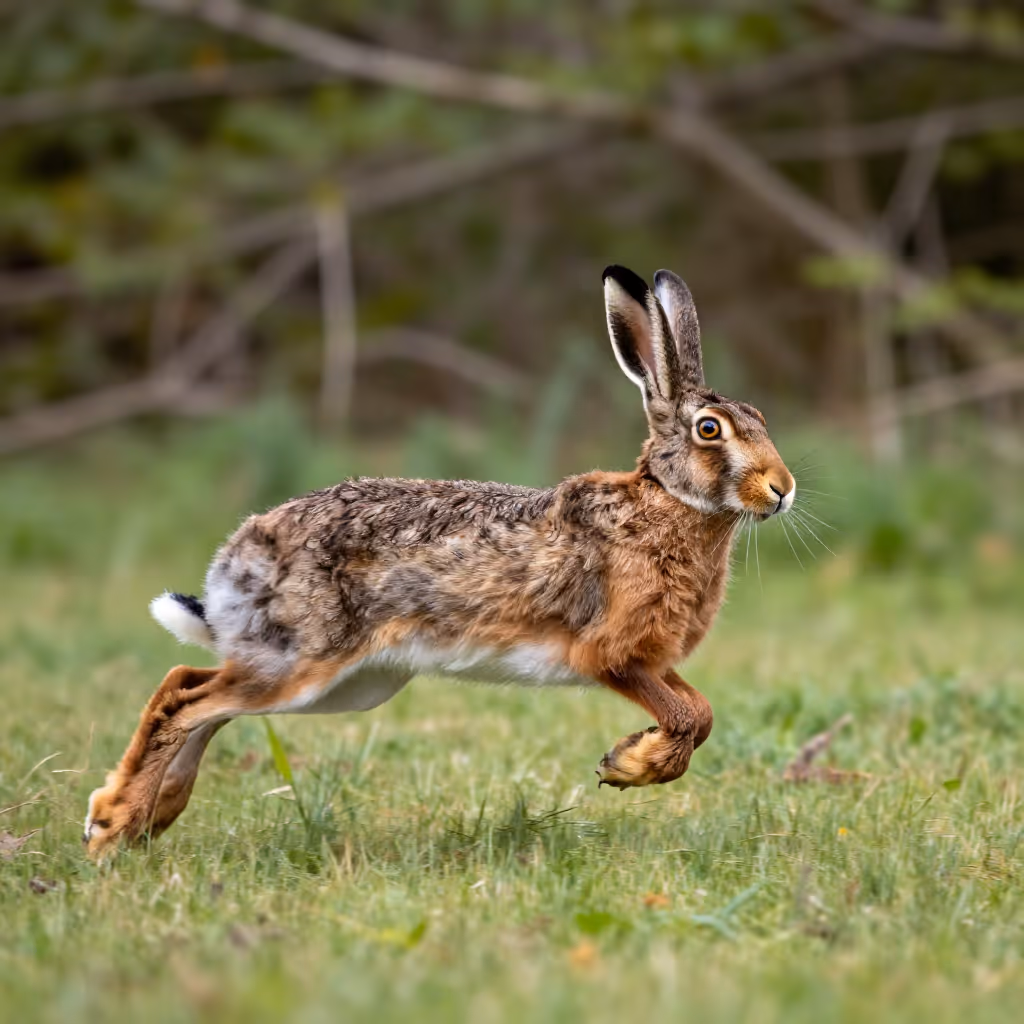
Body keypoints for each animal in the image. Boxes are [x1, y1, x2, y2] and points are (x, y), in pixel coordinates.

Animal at [84, 265, 795, 857]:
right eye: (710, 430)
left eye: (760, 417)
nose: (782, 489)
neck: (668, 503)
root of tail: (235, 560)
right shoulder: (613, 656)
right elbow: (684, 717)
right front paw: (630, 766)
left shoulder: (655, 663)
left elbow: (700, 715)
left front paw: (628, 759)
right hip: (305, 665)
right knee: (184, 698)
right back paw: (115, 824)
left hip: (349, 685)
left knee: (196, 689)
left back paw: (145, 817)